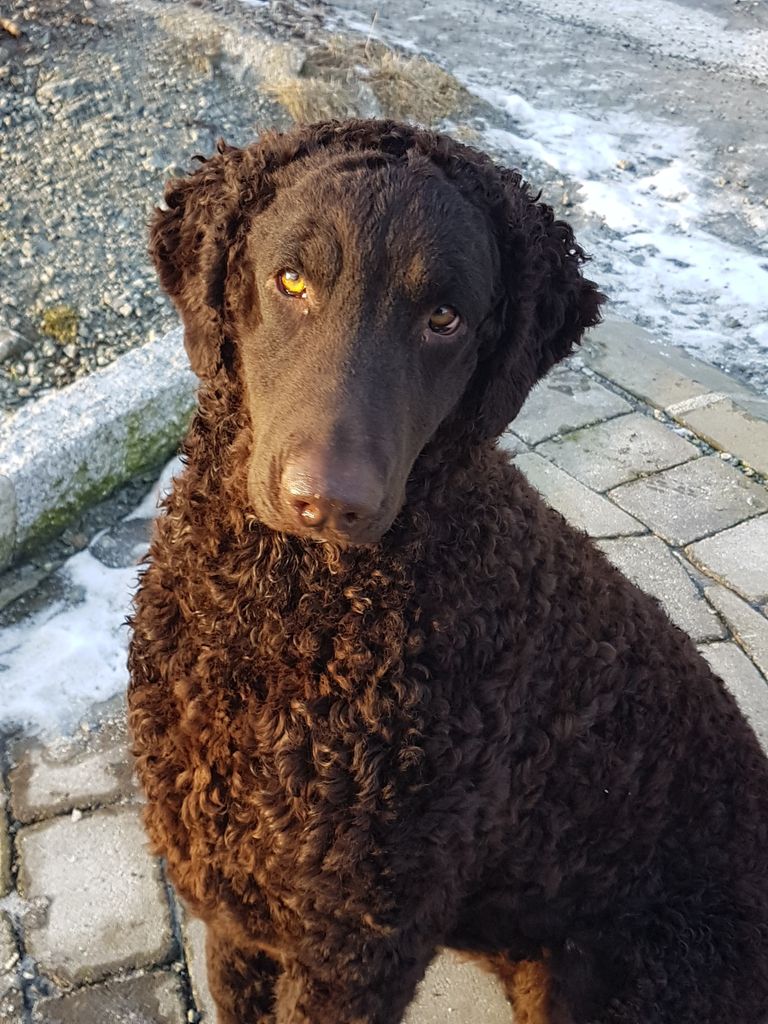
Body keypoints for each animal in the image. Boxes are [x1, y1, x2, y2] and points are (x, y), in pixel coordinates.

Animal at [129, 121, 768, 1024]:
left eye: (444, 317)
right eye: (291, 280)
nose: (330, 503)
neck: (284, 614)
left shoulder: (353, 949)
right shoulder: (236, 913)